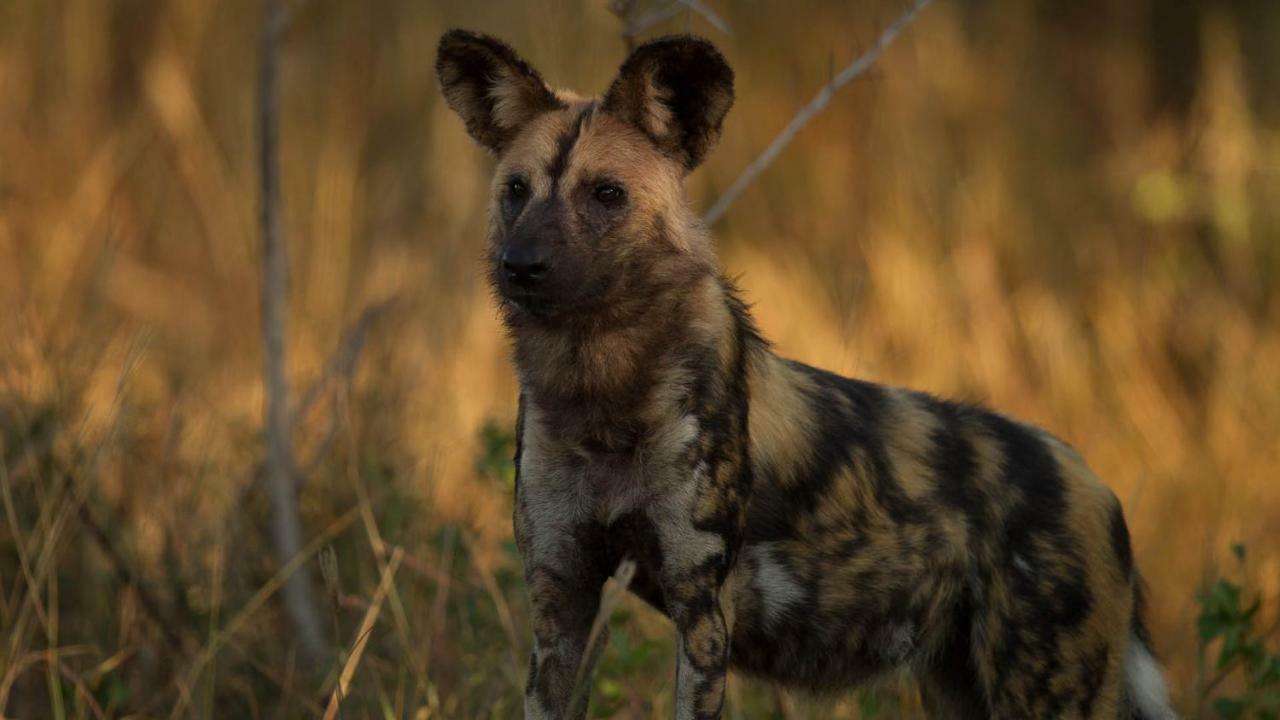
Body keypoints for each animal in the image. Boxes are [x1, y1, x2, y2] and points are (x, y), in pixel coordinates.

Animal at [435, 29, 1172, 717]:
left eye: (606, 194)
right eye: (515, 191)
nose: (520, 264)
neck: (601, 390)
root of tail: (1095, 484)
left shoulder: (702, 612)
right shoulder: (561, 604)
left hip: (1044, 690)